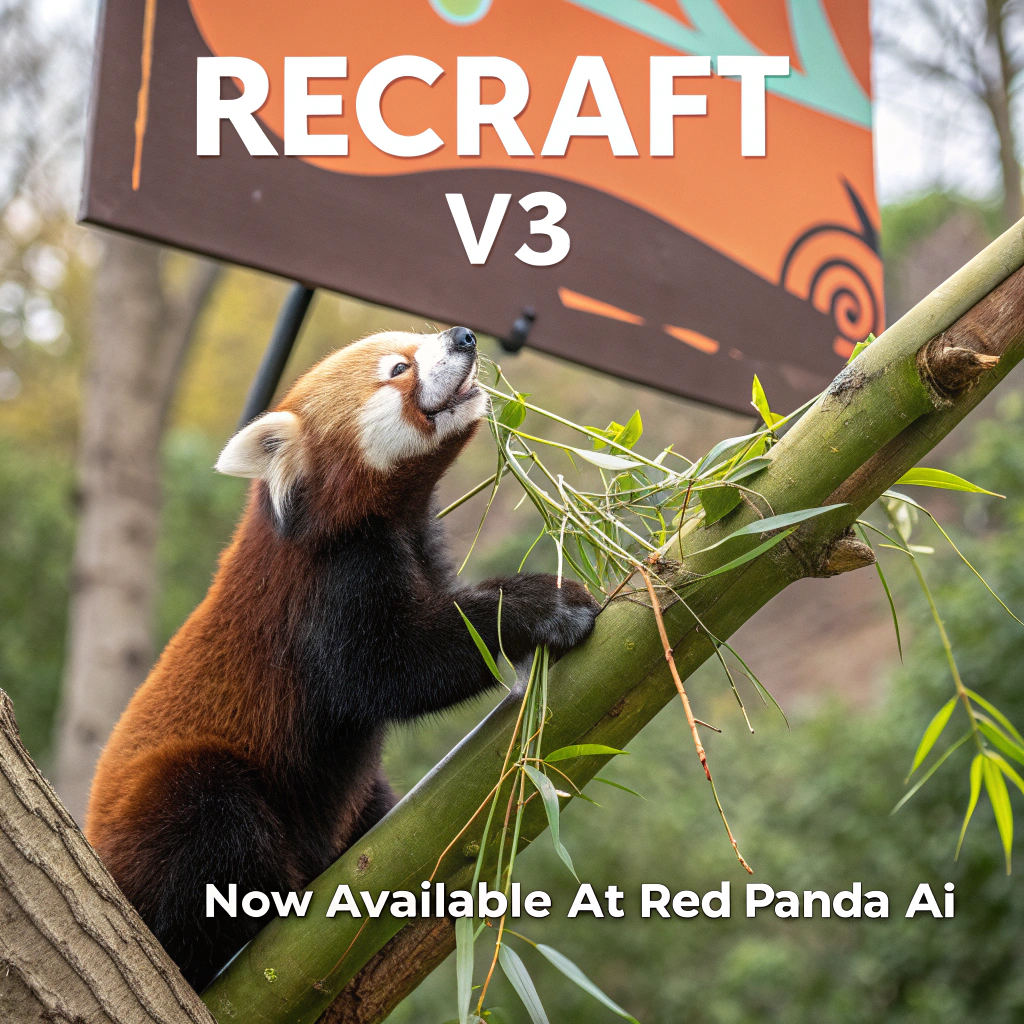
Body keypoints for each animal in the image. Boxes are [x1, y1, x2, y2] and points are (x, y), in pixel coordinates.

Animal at [85, 326, 599, 990]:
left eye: (423, 337)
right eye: (400, 368)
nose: (463, 336)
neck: (387, 518)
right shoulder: (327, 590)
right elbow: (392, 672)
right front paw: (543, 605)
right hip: (172, 806)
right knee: (211, 816)